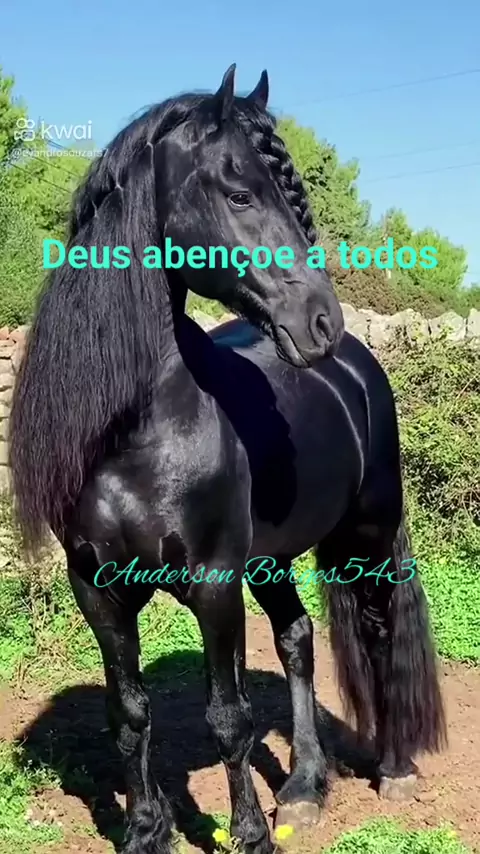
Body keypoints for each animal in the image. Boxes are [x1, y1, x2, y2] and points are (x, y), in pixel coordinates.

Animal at [8, 65, 446, 854]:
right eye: (241, 194)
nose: (320, 321)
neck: (137, 435)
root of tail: (356, 365)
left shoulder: (214, 585)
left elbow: (228, 716)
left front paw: (248, 834)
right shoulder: (98, 591)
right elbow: (130, 715)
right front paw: (145, 831)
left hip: (366, 536)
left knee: (378, 630)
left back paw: (394, 770)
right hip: (271, 559)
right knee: (297, 638)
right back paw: (303, 789)